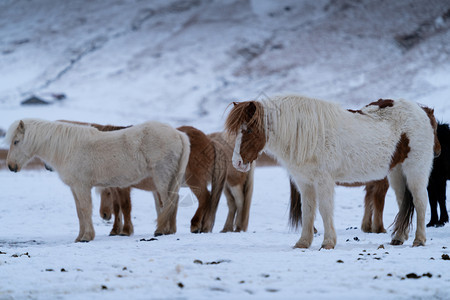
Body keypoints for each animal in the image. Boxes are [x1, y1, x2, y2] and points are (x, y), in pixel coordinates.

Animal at [6, 118, 190, 243]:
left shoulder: (82, 186)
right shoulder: (74, 188)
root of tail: (178, 134)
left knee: (168, 201)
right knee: (173, 201)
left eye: (16, 141)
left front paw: (87, 237)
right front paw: (79, 237)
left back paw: (161, 230)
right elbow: (79, 212)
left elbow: (86, 209)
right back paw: (169, 230)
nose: (10, 166)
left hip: (162, 177)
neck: (69, 148)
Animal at [227, 95, 438, 248]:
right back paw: (399, 238)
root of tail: (421, 111)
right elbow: (307, 211)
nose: (237, 162)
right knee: (404, 203)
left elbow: (325, 209)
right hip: (397, 173)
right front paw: (303, 243)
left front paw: (328, 243)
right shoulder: (305, 182)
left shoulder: (323, 181)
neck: (307, 134)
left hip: (415, 171)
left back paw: (419, 240)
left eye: (249, 130)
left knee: (420, 202)